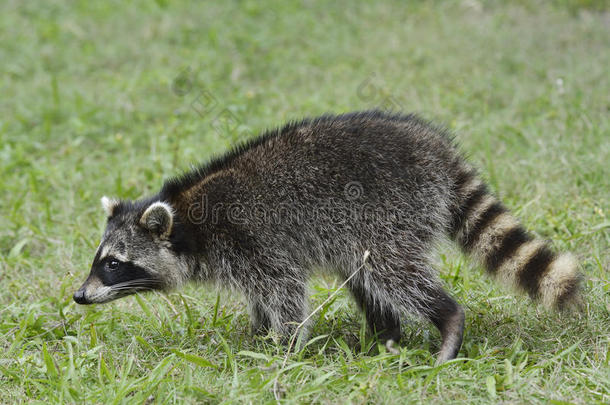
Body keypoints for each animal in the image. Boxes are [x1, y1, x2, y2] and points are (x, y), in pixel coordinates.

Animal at [73, 109, 580, 360]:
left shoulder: (254, 242)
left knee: (394, 274)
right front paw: (258, 335)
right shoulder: (243, 256)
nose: (79, 295)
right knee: (364, 277)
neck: (186, 223)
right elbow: (262, 298)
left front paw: (283, 348)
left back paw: (447, 321)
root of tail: (436, 149)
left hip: (390, 210)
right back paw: (385, 338)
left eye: (114, 264)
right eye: (100, 258)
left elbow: (286, 293)